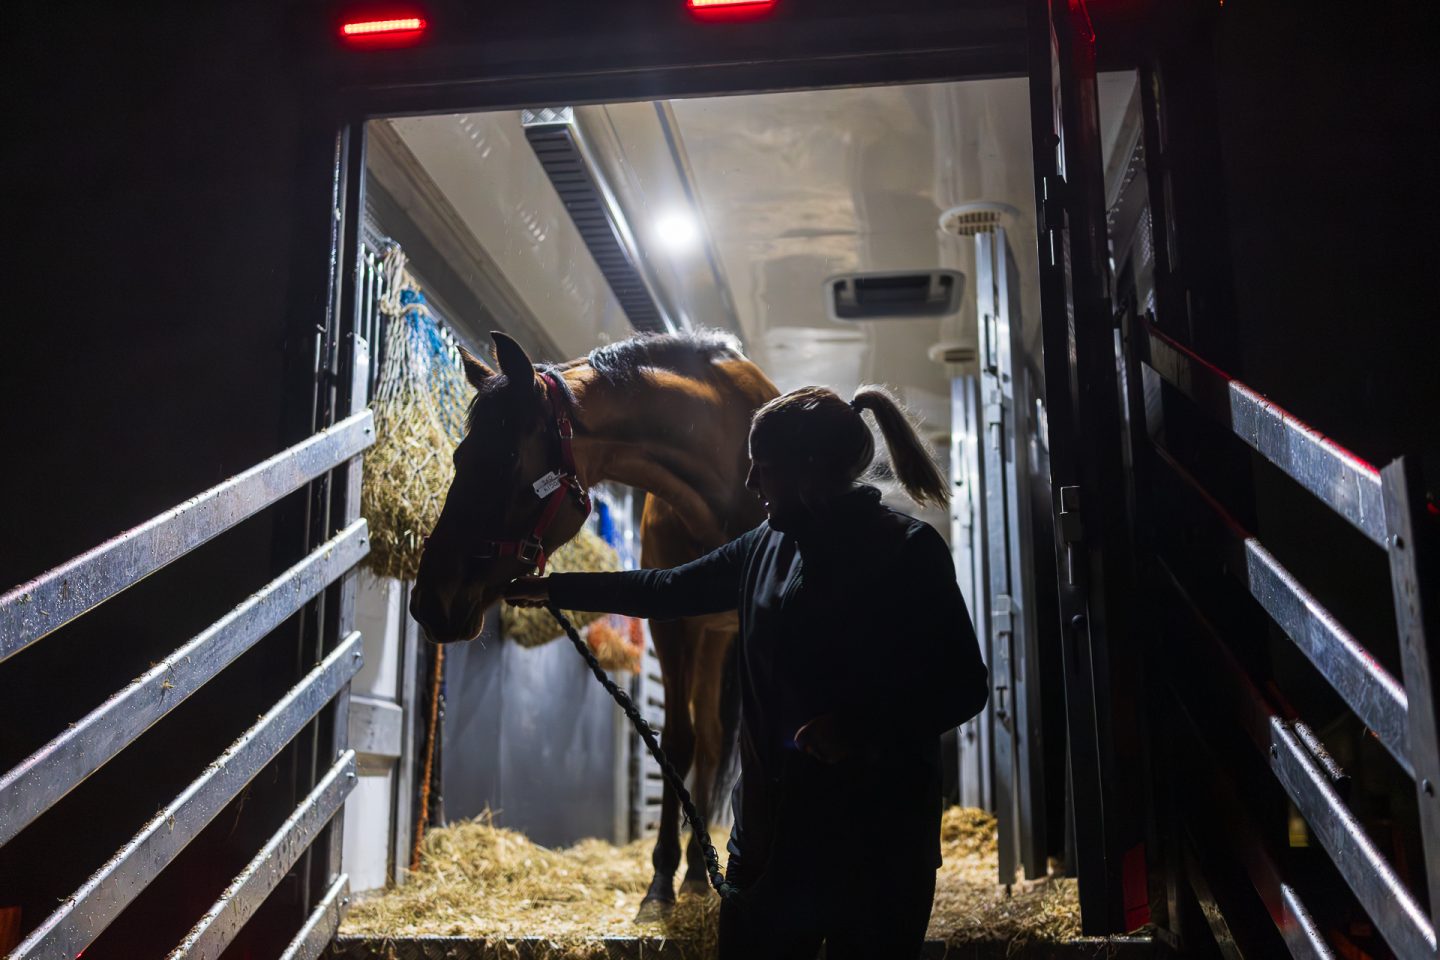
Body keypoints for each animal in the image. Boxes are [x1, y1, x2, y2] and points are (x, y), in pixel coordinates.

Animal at [409, 328, 777, 919]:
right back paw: (698, 877)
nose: (429, 602)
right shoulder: (673, 620)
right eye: (462, 455)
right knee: (708, 740)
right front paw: (661, 884)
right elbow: (677, 743)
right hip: (705, 638)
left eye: (506, 458)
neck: (725, 477)